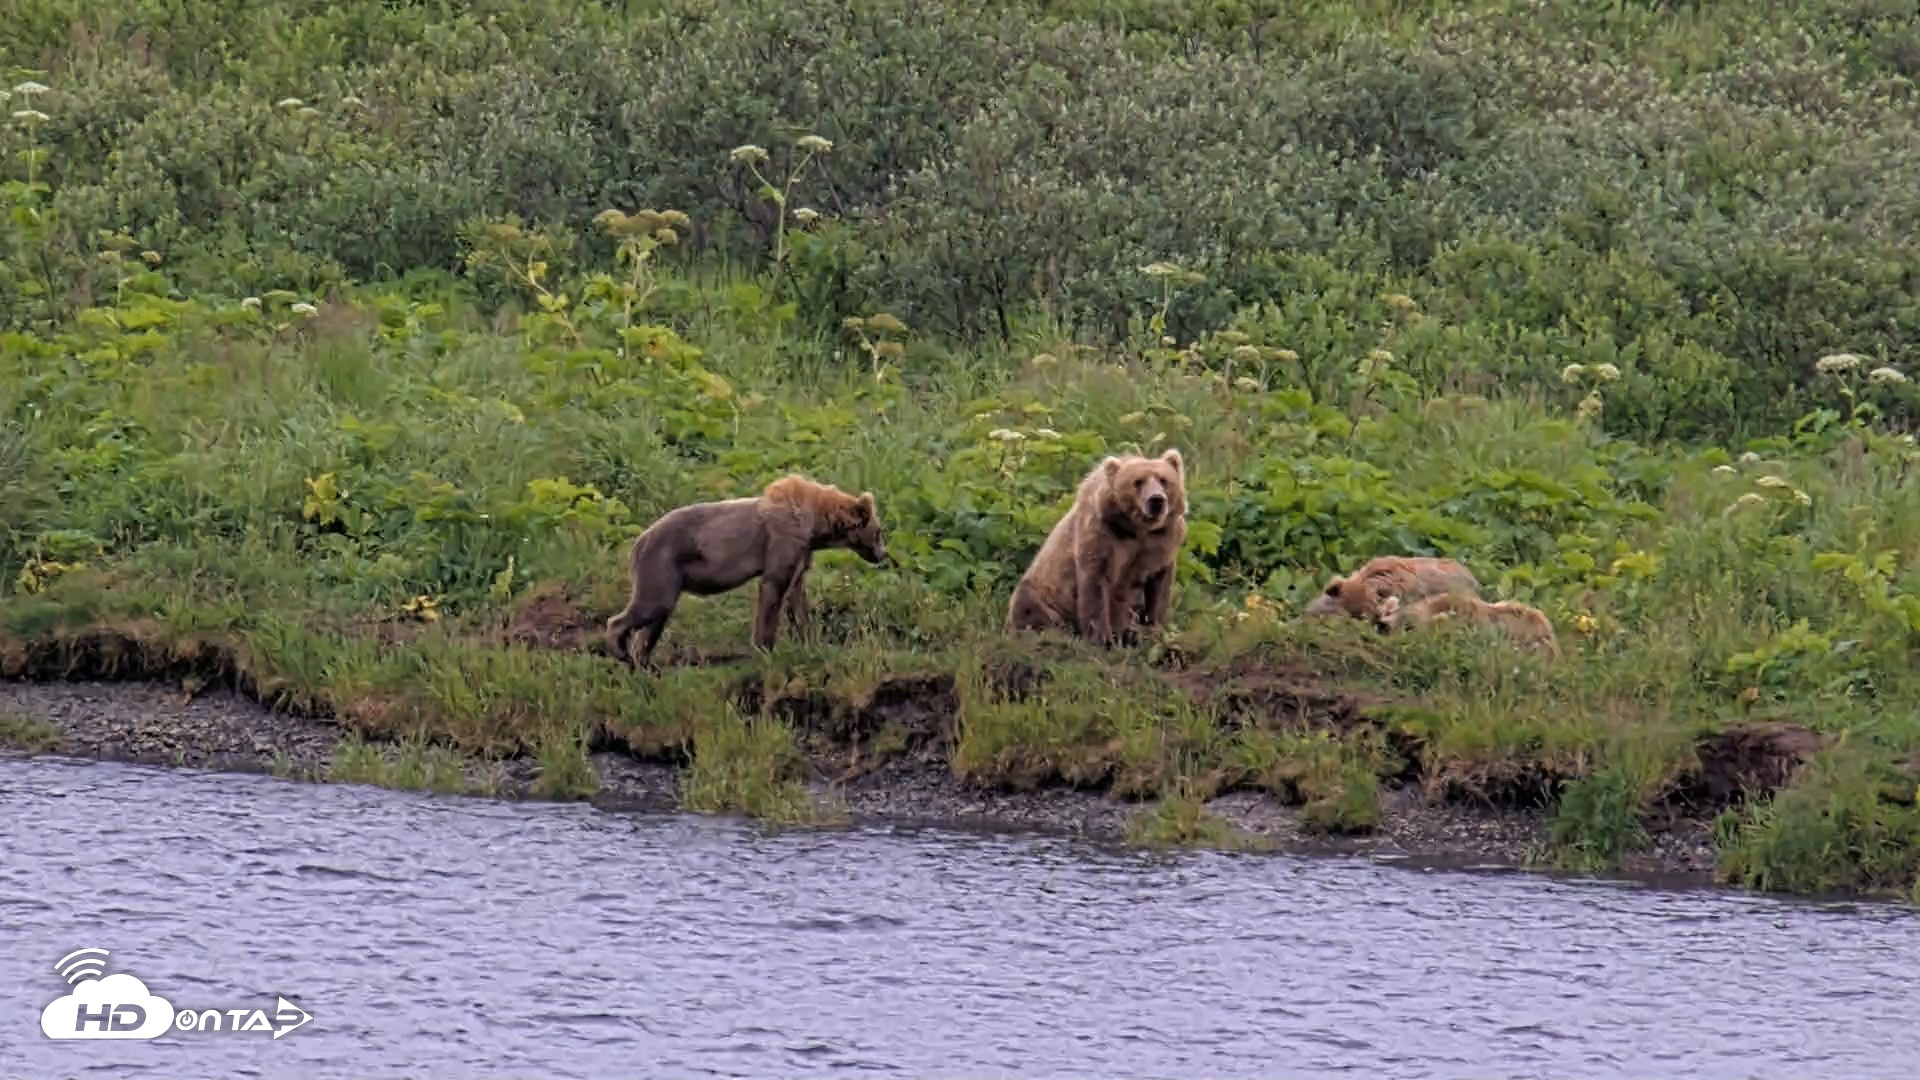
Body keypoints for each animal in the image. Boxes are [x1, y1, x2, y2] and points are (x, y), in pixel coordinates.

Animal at [604, 475, 889, 669]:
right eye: (878, 531)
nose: (883, 555)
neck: (815, 525)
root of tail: (638, 541)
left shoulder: (801, 553)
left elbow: (796, 596)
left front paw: (809, 639)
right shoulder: (781, 542)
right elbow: (773, 592)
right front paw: (765, 647)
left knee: (655, 620)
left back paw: (644, 663)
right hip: (662, 564)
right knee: (648, 607)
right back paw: (621, 649)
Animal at [1007, 448, 1188, 647]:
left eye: (1164, 480)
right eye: (1137, 482)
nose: (1156, 500)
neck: (1135, 529)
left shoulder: (1162, 541)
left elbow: (1158, 587)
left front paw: (1152, 631)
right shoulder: (1102, 536)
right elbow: (1096, 585)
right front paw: (1102, 639)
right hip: (1045, 593)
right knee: (1030, 606)